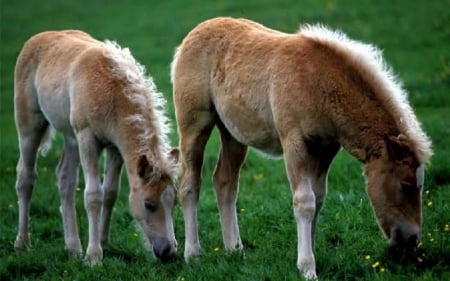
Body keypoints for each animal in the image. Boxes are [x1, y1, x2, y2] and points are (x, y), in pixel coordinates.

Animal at [14, 31, 179, 264]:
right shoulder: (87, 138)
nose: (169, 252)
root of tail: (37, 38)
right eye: (149, 203)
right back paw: (22, 243)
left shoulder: (115, 148)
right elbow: (93, 195)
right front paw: (93, 256)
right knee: (25, 177)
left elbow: (110, 192)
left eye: (174, 202)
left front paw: (103, 241)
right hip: (30, 127)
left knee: (65, 179)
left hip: (71, 137)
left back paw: (73, 248)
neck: (112, 92)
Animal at [171, 17, 430, 278]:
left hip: (233, 133)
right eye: (406, 185)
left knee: (225, 181)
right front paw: (307, 268)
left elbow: (318, 199)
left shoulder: (325, 150)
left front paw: (310, 256)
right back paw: (192, 254)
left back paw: (235, 250)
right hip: (195, 124)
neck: (319, 83)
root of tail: (193, 34)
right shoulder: (294, 143)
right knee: (189, 184)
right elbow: (305, 202)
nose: (412, 239)